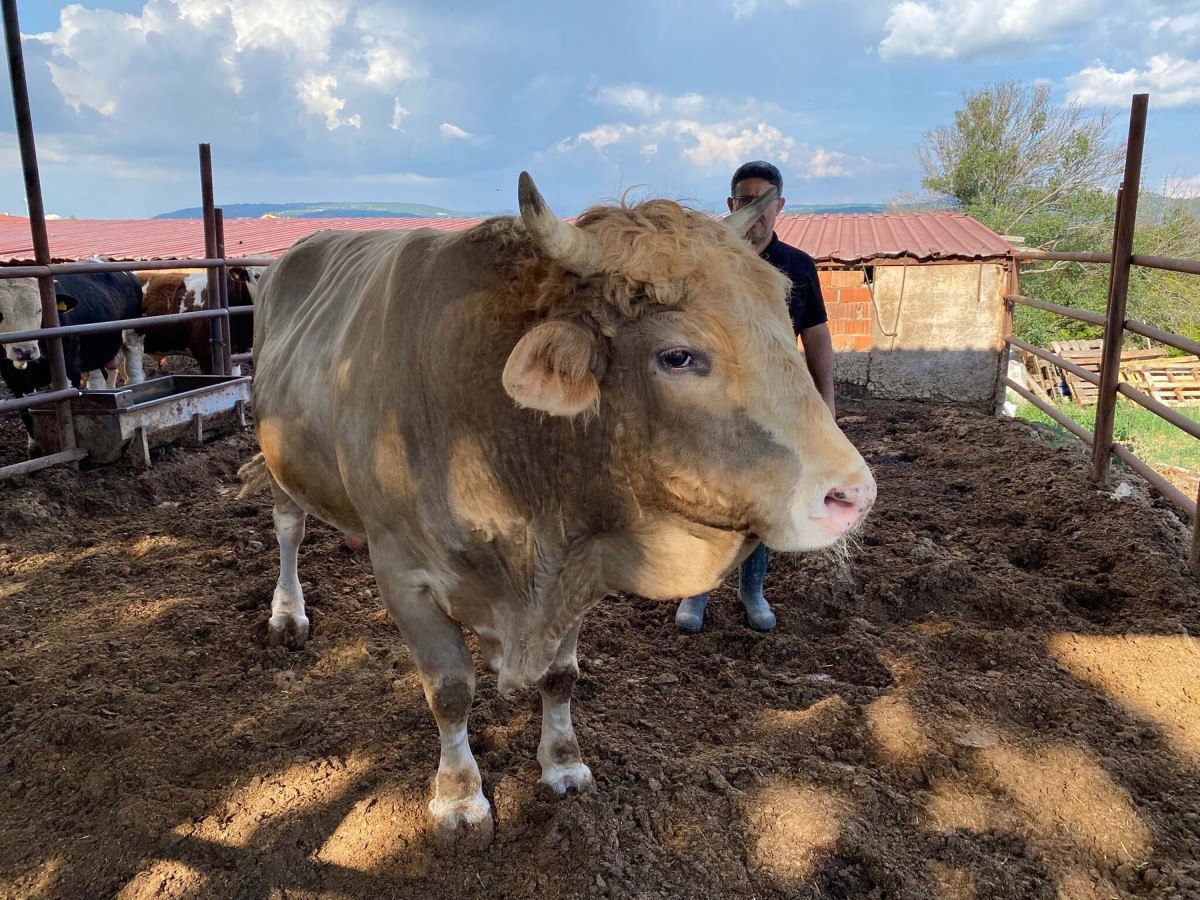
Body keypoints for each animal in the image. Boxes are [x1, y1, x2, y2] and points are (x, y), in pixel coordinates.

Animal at [1, 271, 142, 454]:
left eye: (40, 309)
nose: (25, 350)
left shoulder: (69, 367)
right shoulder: (12, 376)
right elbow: (26, 410)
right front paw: (36, 447)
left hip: (133, 334)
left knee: (134, 368)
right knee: (105, 375)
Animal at [239, 173, 876, 845]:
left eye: (785, 323)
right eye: (678, 356)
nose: (851, 494)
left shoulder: (576, 564)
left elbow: (561, 675)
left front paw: (563, 765)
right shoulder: (402, 574)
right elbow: (450, 689)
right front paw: (459, 798)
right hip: (278, 460)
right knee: (288, 529)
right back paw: (287, 614)